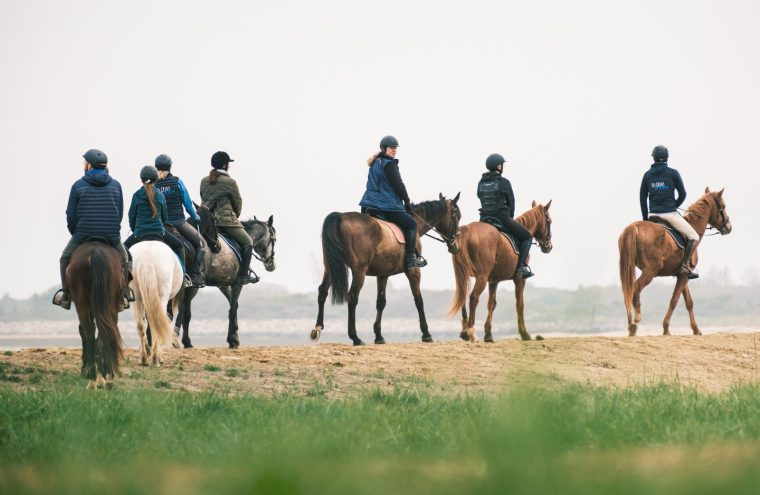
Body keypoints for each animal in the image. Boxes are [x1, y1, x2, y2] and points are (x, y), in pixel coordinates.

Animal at [66, 241, 125, 392]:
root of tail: (96, 252)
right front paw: (102, 375)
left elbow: (85, 333)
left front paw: (86, 370)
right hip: (110, 306)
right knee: (106, 334)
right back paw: (106, 378)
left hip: (83, 305)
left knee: (89, 333)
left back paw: (93, 379)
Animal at [174, 215, 276, 350]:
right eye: (274, 239)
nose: (271, 265)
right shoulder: (237, 283)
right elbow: (233, 308)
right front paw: (233, 340)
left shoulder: (223, 285)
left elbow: (233, 305)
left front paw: (235, 335)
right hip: (191, 287)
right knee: (182, 310)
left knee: (182, 311)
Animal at [310, 192, 464, 346]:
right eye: (456, 216)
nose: (455, 245)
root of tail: (340, 216)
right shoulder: (413, 271)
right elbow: (418, 300)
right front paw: (426, 334)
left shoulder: (383, 275)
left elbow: (381, 302)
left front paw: (379, 336)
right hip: (359, 271)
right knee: (352, 297)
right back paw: (355, 337)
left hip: (330, 267)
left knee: (323, 291)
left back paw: (318, 327)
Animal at [448, 202, 556, 344]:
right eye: (549, 221)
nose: (549, 246)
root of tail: (468, 229)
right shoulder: (519, 279)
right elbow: (519, 304)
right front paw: (524, 334)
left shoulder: (494, 281)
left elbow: (491, 304)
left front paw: (488, 335)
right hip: (481, 277)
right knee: (473, 298)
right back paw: (470, 332)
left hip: (464, 276)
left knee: (463, 297)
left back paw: (465, 330)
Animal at [616, 187, 736, 338]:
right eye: (723, 207)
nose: (729, 227)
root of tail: (633, 227)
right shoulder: (683, 275)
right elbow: (674, 300)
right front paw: (666, 329)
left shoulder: (682, 275)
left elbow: (689, 302)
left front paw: (696, 330)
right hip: (650, 271)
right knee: (635, 288)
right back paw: (635, 321)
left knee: (628, 291)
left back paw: (630, 325)